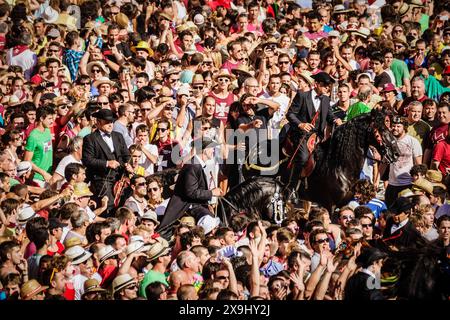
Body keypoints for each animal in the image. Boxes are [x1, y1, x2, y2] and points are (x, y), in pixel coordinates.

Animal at [241, 110, 400, 212]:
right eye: (380, 129)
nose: (396, 153)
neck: (339, 166)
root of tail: (254, 150)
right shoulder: (330, 205)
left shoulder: (344, 204)